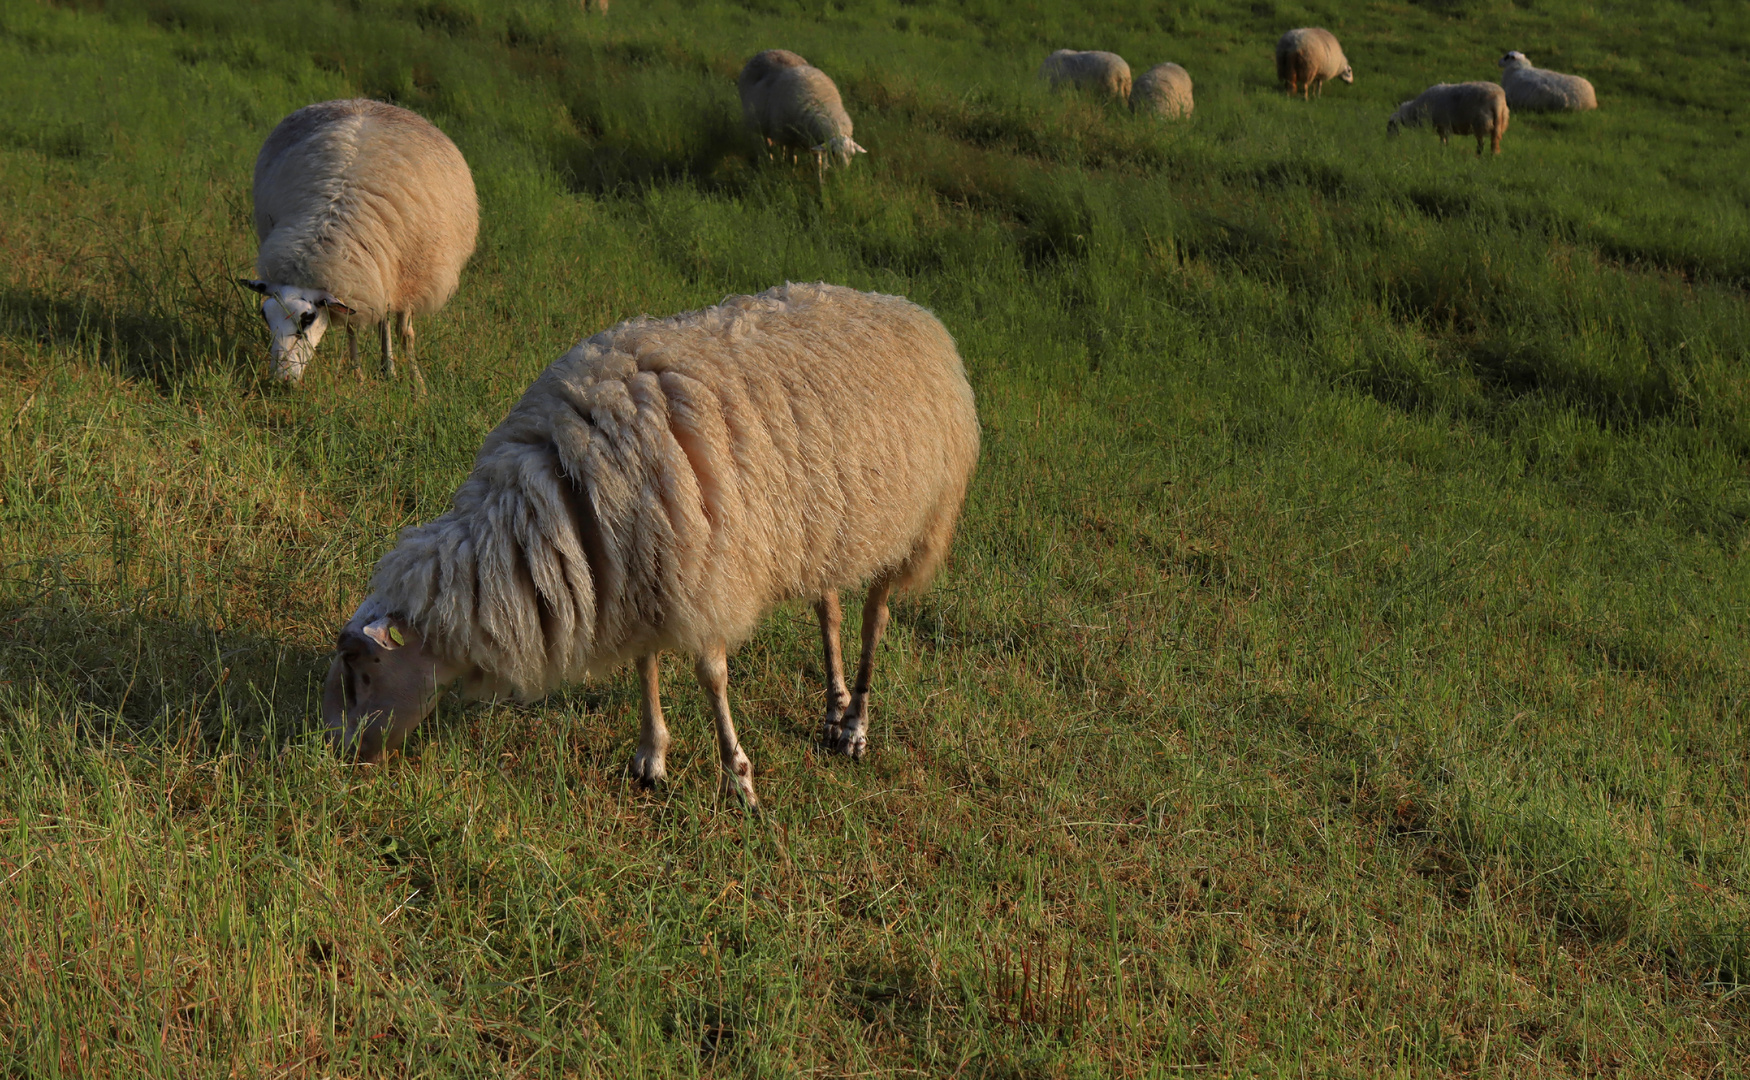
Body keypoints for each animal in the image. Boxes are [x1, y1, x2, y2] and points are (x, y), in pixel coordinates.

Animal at [241, 98, 479, 390]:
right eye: (265, 317)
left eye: (307, 320)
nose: (280, 381)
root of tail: (365, 101)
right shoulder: (354, 280)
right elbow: (353, 325)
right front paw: (359, 377)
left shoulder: (411, 276)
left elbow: (405, 333)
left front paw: (417, 386)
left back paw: (391, 370)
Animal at [322, 281, 987, 805]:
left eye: (358, 670)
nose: (335, 755)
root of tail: (912, 310)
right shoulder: (638, 568)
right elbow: (646, 662)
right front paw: (651, 755)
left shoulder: (704, 567)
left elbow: (712, 676)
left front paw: (737, 777)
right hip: (825, 525)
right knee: (828, 607)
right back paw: (832, 703)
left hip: (912, 524)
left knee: (875, 616)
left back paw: (854, 724)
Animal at [738, 50, 868, 172]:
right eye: (833, 152)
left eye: (852, 154)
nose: (844, 173)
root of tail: (766, 51)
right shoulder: (790, 138)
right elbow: (792, 160)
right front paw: (792, 173)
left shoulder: (812, 142)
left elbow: (818, 164)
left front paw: (819, 180)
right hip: (761, 124)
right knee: (767, 145)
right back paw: (770, 161)